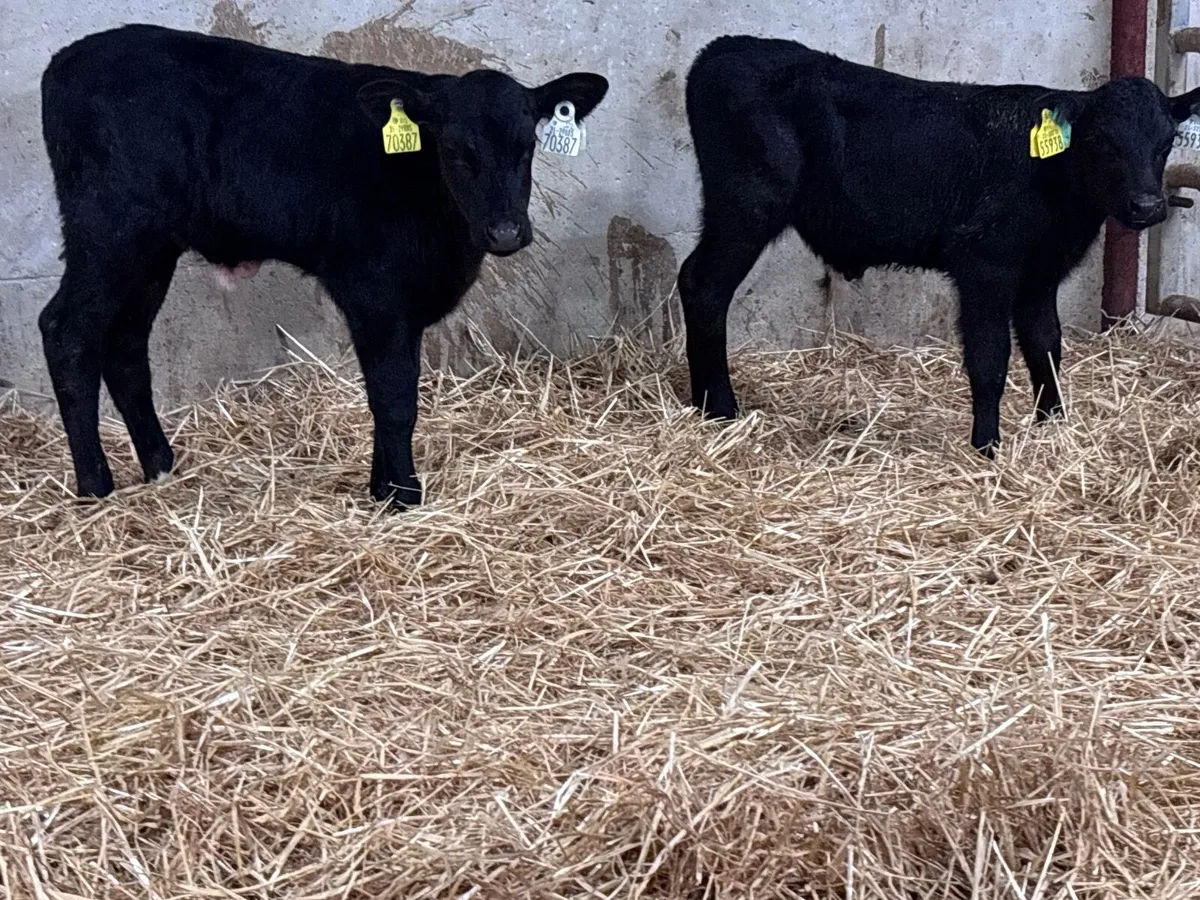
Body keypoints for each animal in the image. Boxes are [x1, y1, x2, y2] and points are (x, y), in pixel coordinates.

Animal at [38, 24, 607, 508]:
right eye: (452, 149)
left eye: (528, 145)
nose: (506, 232)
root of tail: (66, 59)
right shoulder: (372, 289)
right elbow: (394, 395)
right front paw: (402, 496)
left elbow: (395, 390)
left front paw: (382, 486)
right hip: (108, 232)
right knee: (66, 331)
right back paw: (94, 487)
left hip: (151, 249)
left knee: (125, 343)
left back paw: (160, 465)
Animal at [677, 35, 1200, 456]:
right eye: (1101, 141)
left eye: (1167, 142)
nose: (1146, 206)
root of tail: (723, 48)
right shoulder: (984, 263)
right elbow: (990, 356)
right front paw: (987, 447)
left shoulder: (1041, 271)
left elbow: (1046, 346)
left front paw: (1054, 426)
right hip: (747, 206)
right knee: (704, 287)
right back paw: (720, 408)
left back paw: (703, 404)